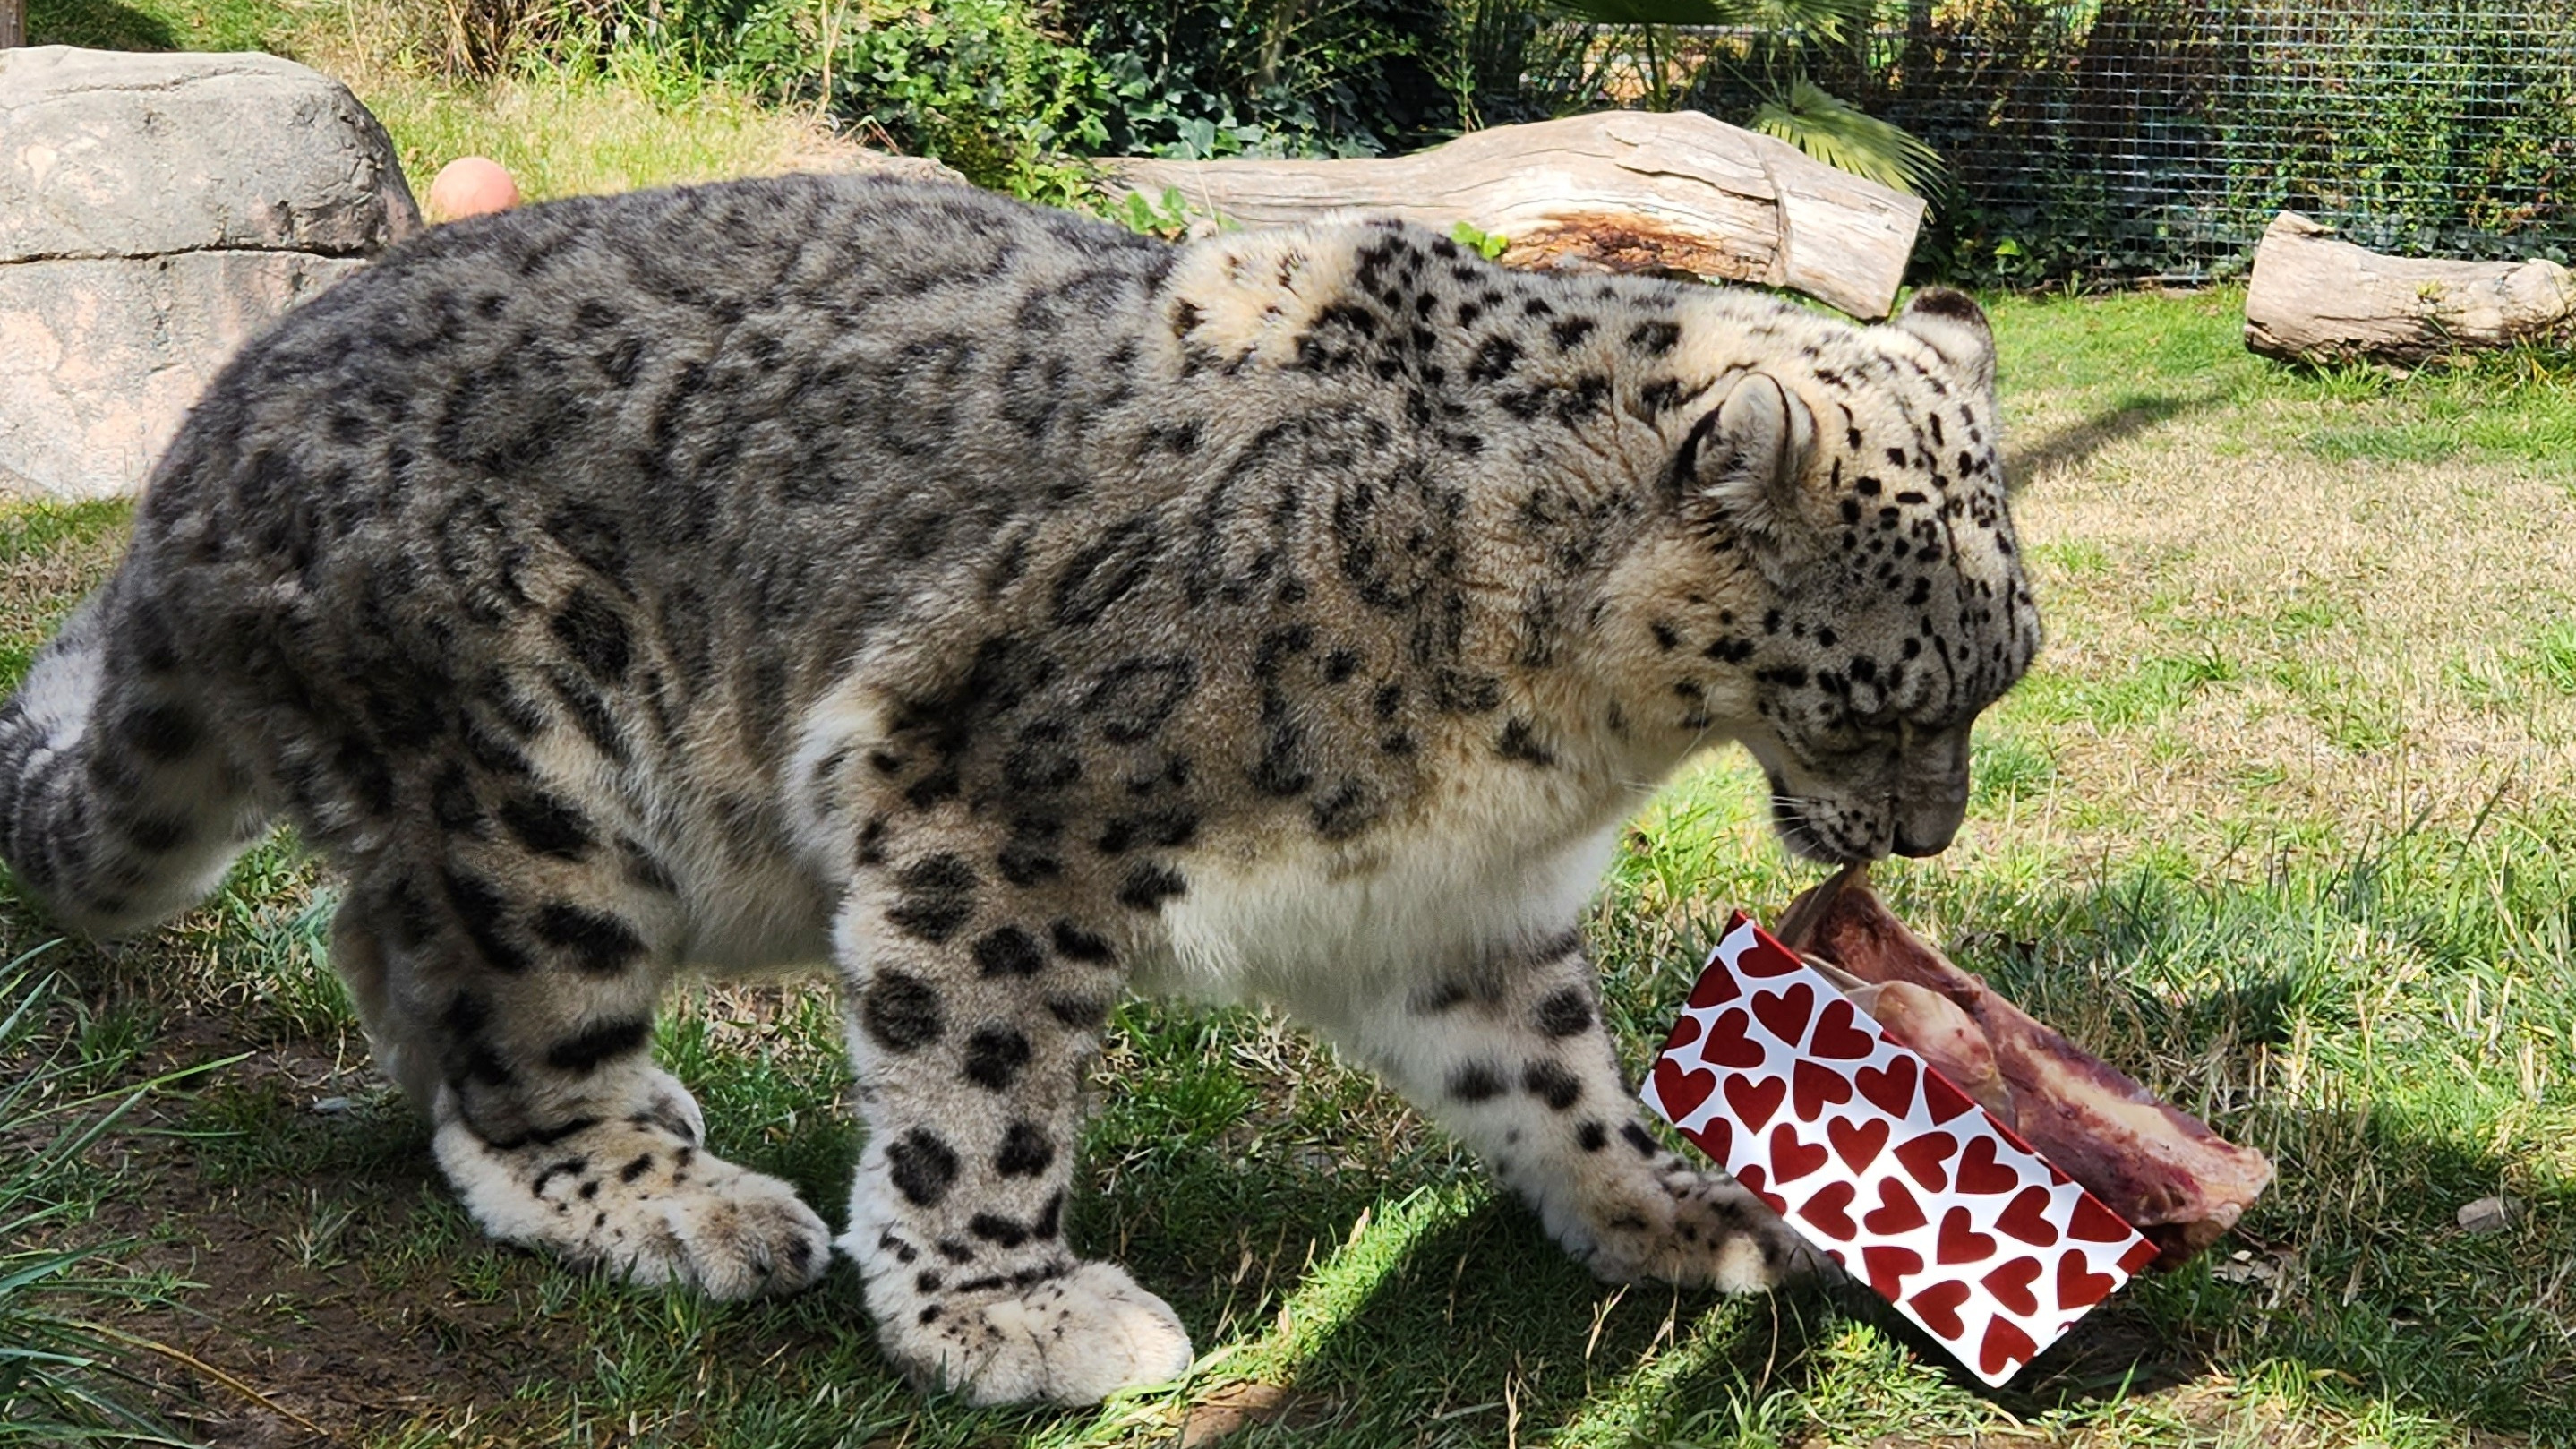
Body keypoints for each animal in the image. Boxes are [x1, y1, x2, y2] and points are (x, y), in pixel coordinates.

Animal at [0, 173, 2039, 1405]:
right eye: (1889, 697)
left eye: (1994, 681)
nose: (1930, 831)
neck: (1560, 740)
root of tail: (204, 434)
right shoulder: (994, 805)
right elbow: (979, 1082)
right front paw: (1013, 1310)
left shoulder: (1457, 902)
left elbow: (1544, 1070)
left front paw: (1674, 1208)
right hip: (535, 788)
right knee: (512, 1052)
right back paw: (681, 1194)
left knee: (386, 948)